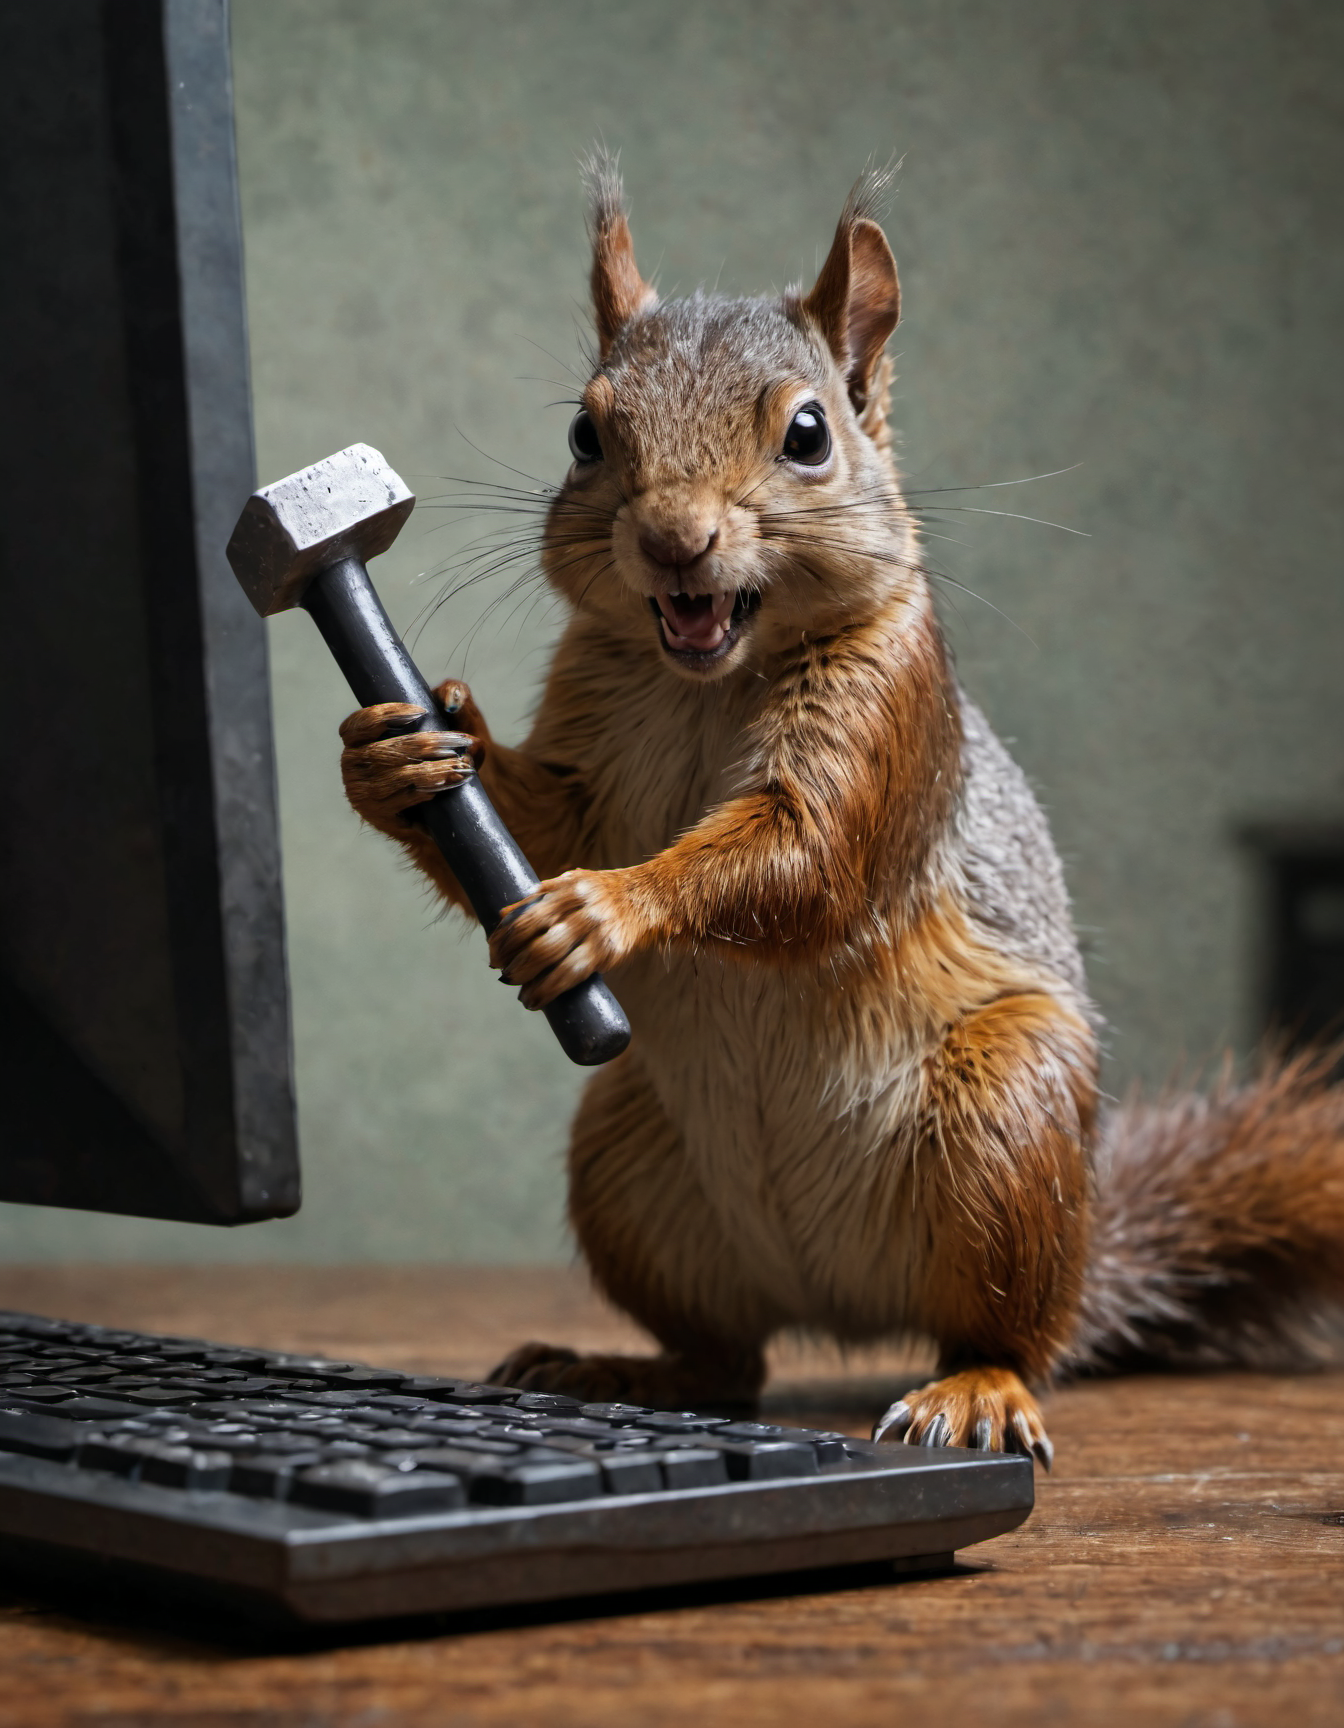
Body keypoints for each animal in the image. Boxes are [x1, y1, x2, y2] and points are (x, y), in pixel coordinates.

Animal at [336, 155, 1344, 1466]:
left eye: (809, 434)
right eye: (583, 432)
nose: (674, 540)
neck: (707, 681)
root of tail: (846, 1302)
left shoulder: (891, 715)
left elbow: (803, 857)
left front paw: (607, 909)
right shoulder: (586, 740)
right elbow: (543, 824)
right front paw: (399, 754)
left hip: (1005, 1122)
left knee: (1008, 1330)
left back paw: (977, 1391)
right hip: (625, 1157)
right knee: (729, 1356)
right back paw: (615, 1363)